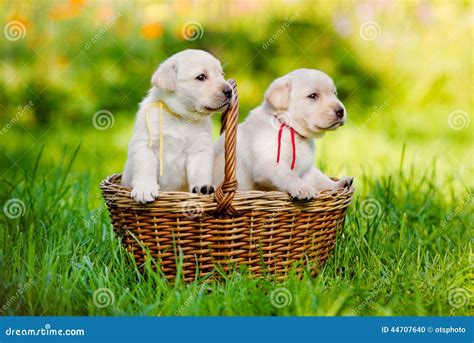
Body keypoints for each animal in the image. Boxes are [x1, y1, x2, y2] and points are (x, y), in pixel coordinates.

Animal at [123, 49, 232, 203]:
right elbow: (145, 168)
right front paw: (145, 189)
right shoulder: (145, 144)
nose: (229, 91)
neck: (180, 117)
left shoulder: (199, 150)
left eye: (222, 74)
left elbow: (200, 172)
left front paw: (202, 187)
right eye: (201, 77)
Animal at [214, 68, 352, 200]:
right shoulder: (270, 162)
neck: (290, 129)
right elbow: (288, 175)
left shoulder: (306, 169)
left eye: (334, 94)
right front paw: (302, 188)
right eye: (313, 96)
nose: (341, 111)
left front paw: (339, 184)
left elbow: (320, 178)